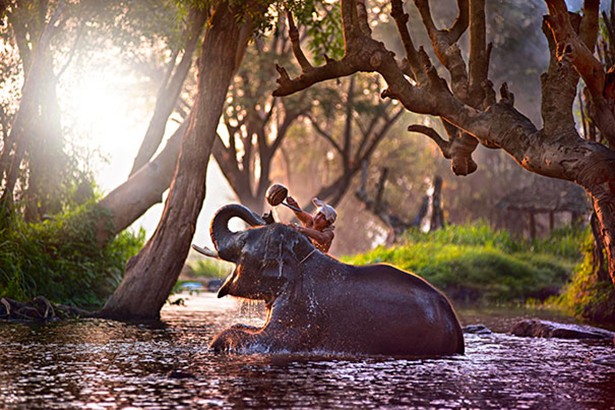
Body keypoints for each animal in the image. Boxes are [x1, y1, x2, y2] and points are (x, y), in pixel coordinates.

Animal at [209, 204, 464, 356]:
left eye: (243, 242)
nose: (266, 213)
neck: (302, 255)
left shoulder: (303, 309)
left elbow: (271, 340)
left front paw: (216, 344)